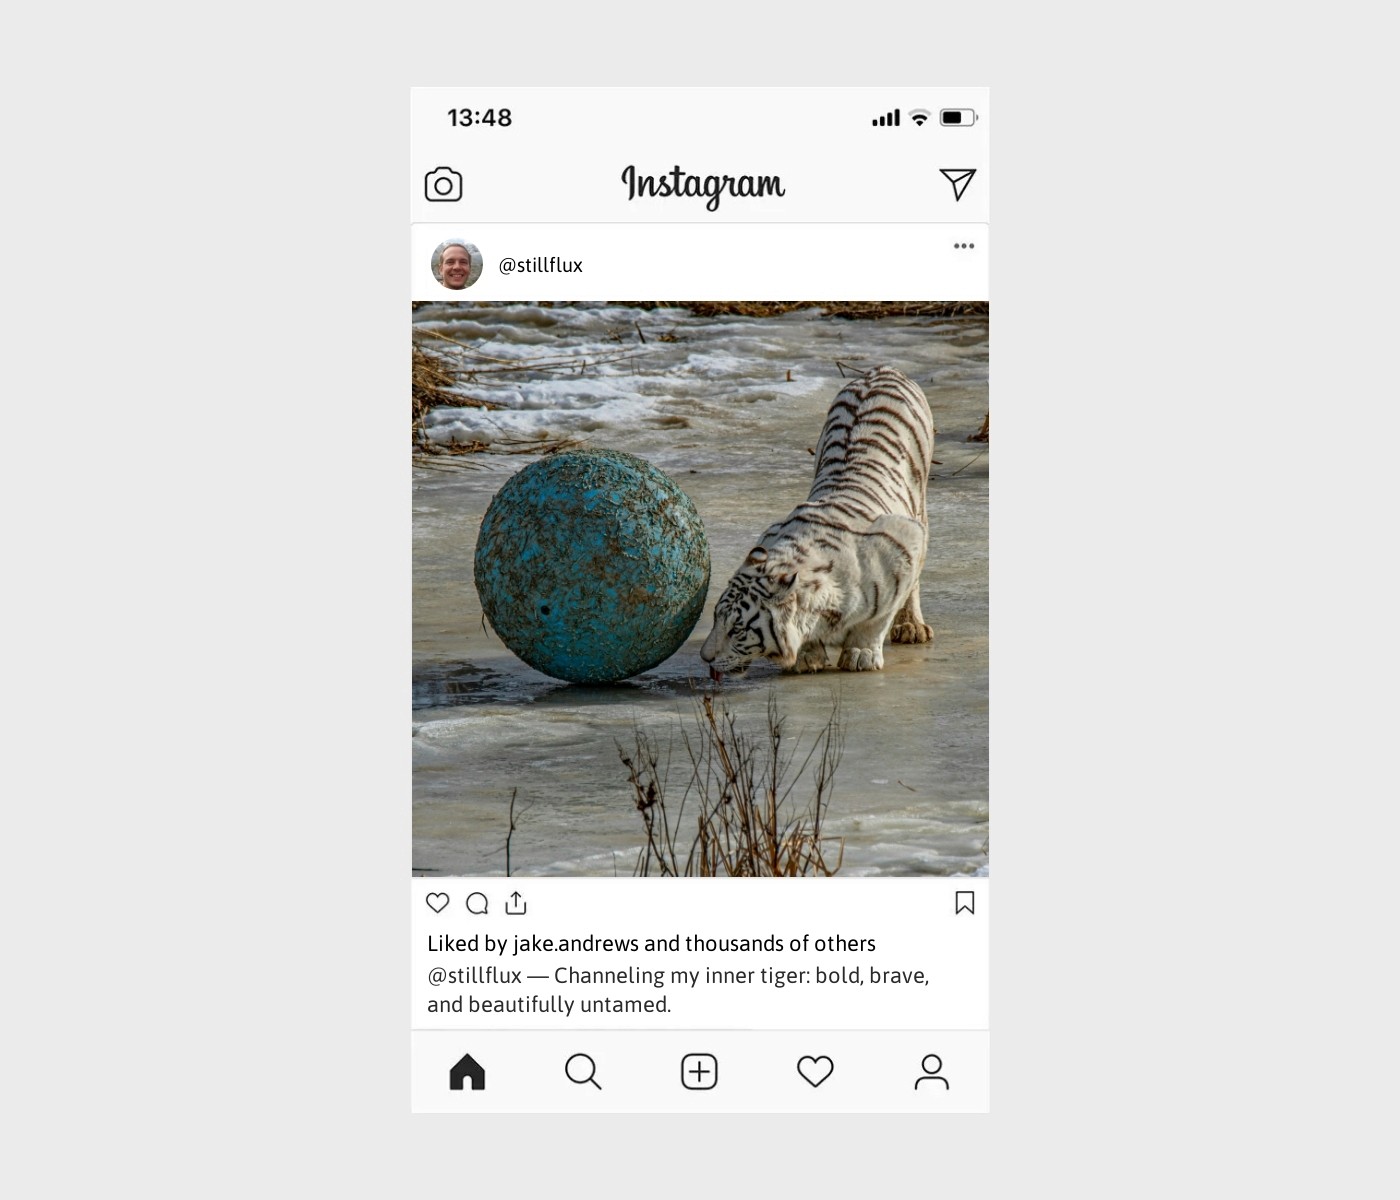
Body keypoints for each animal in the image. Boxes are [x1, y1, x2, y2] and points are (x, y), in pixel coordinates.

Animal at [700, 365, 935, 679]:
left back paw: (911, 626)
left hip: (919, 507)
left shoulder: (904, 543)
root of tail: (881, 369)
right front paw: (808, 657)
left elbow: (876, 620)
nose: (705, 657)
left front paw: (860, 654)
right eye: (715, 618)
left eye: (737, 629)